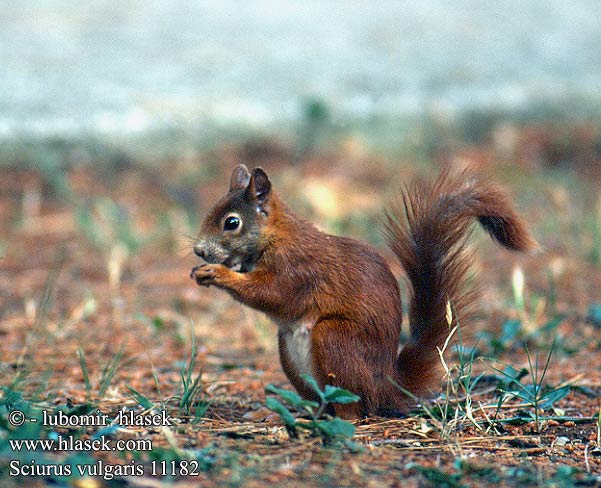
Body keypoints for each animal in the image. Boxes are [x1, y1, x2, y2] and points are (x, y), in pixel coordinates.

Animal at [189, 164, 536, 420]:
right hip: (290, 354)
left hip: (335, 339)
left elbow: (272, 293)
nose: (199, 251)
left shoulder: (296, 269)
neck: (276, 236)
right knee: (323, 403)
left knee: (355, 409)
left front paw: (217, 273)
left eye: (231, 223)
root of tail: (385, 384)